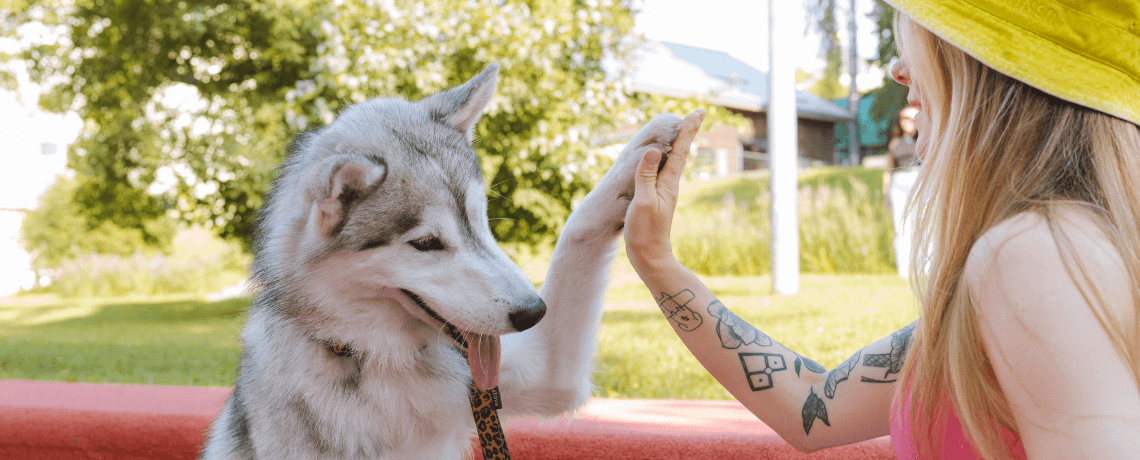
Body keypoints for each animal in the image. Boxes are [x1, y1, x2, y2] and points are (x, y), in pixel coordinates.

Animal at [199, 62, 679, 457]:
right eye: (427, 243)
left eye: (481, 221)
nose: (532, 312)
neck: (375, 362)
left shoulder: (545, 373)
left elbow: (576, 230)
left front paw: (641, 163)